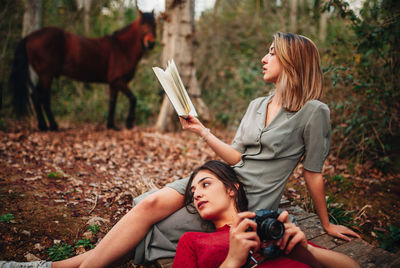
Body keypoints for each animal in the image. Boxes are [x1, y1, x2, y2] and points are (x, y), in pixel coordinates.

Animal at [9, 11, 156, 130]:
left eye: (154, 24)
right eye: (142, 25)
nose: (151, 43)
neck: (122, 47)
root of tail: (29, 37)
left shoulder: (114, 84)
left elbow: (112, 103)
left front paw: (111, 125)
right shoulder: (118, 81)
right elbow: (133, 98)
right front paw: (129, 123)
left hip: (45, 75)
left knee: (37, 96)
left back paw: (45, 125)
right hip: (46, 75)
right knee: (41, 97)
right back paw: (50, 126)